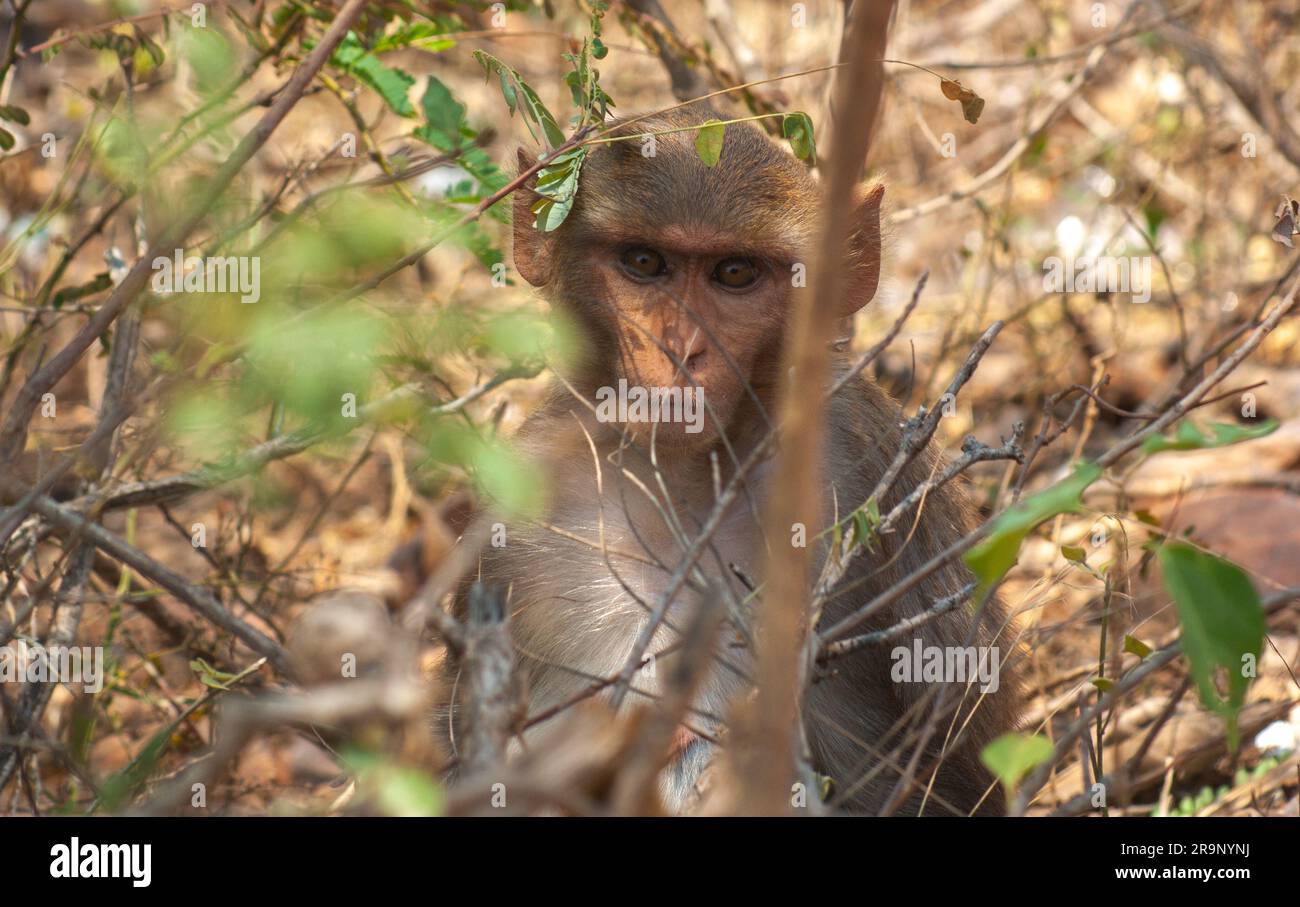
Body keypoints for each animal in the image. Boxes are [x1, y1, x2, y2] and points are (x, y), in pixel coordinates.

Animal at [441, 105, 1019, 810]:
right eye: (644, 262)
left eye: (735, 273)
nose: (681, 350)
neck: (688, 480)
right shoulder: (514, 517)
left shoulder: (865, 455)